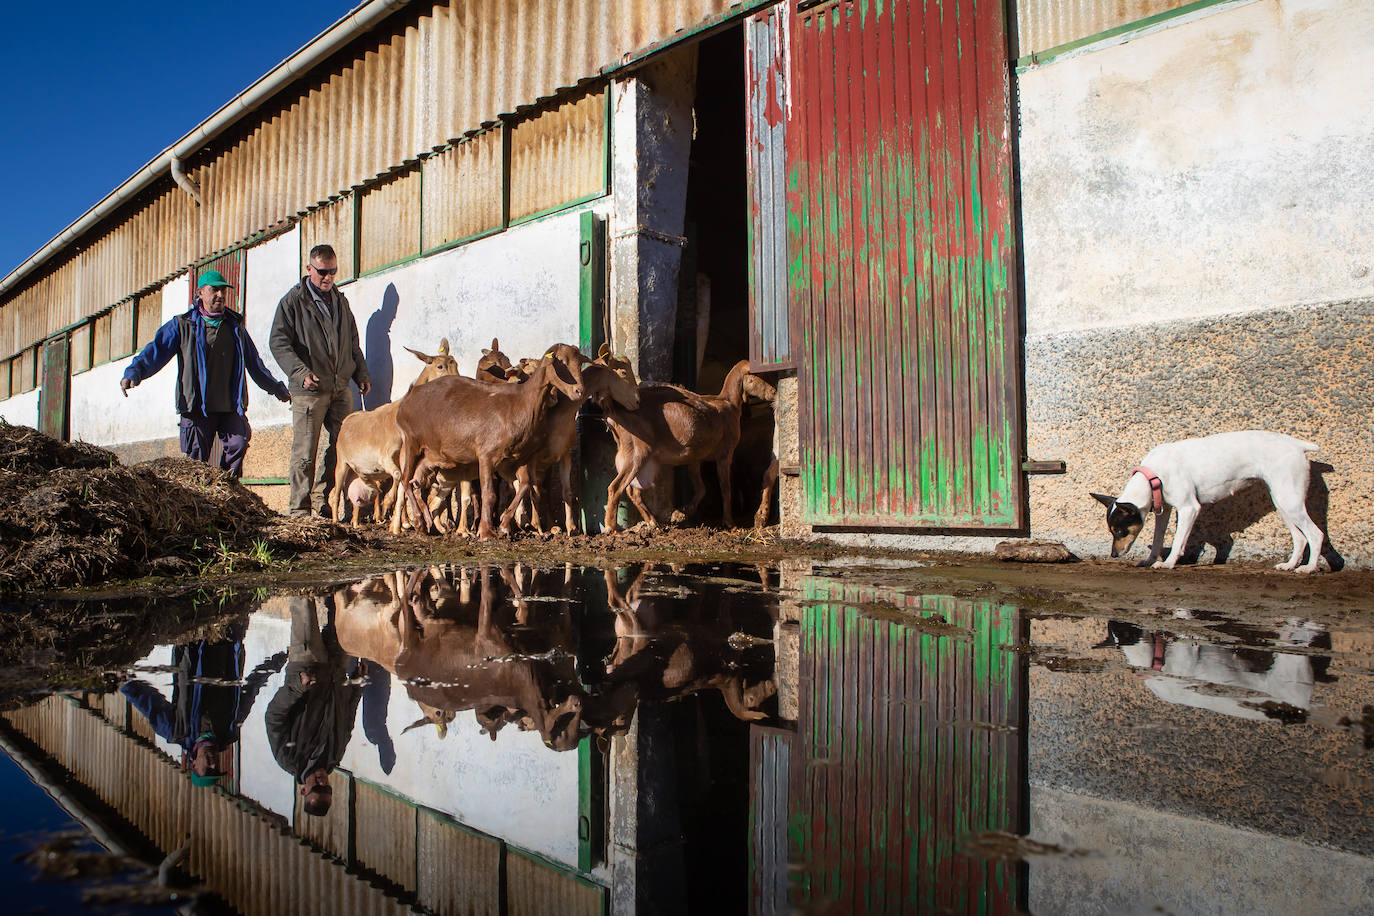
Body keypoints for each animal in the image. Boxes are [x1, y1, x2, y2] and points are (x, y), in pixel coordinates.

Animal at [1088, 431, 1324, 574]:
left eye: (1120, 531)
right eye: (1112, 532)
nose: (1113, 554)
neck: (1153, 475)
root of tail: (1297, 444)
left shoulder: (1189, 508)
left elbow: (1178, 540)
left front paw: (1169, 562)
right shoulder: (1164, 510)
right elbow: (1157, 538)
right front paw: (1150, 560)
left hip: (1289, 500)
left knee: (1316, 534)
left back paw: (1309, 568)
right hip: (1283, 501)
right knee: (1300, 538)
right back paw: (1290, 565)